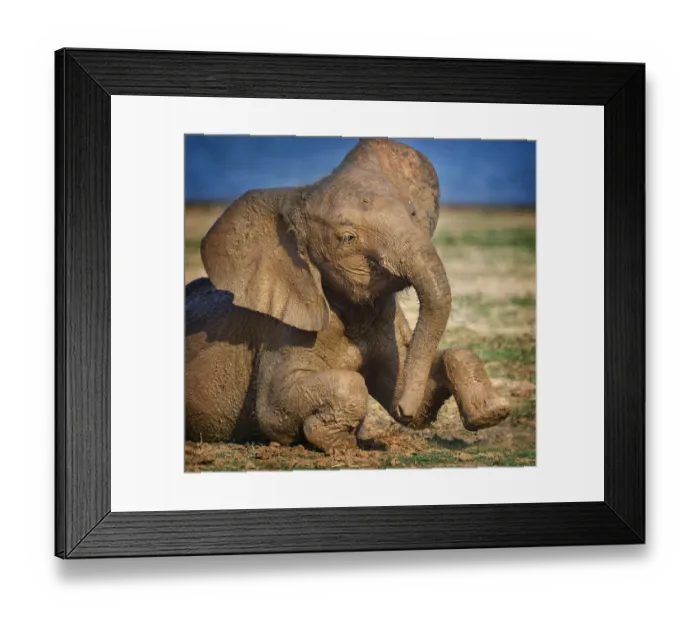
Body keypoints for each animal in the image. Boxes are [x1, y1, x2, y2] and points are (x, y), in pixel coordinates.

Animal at [185, 138, 510, 454]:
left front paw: (491, 413)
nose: (403, 410)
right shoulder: (284, 330)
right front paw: (341, 444)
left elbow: (422, 382)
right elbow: (275, 408)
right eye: (347, 238)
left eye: (412, 214)